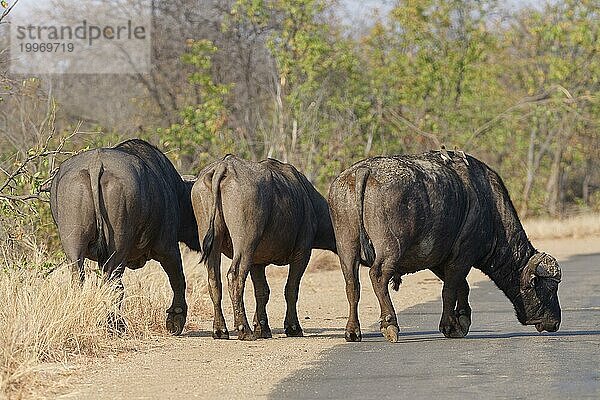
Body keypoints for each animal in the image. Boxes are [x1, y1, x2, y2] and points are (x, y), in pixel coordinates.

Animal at [49, 139, 199, 336]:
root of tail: (95, 164)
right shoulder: (168, 249)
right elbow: (178, 280)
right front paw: (175, 320)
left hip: (74, 246)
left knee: (80, 279)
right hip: (118, 247)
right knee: (114, 284)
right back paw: (116, 324)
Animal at [192, 155, 336, 340]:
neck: (309, 201)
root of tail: (224, 166)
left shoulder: (257, 262)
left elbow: (262, 291)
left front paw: (262, 327)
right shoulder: (302, 253)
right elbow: (291, 289)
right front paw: (293, 327)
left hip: (213, 241)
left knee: (214, 280)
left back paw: (220, 330)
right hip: (245, 244)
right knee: (235, 276)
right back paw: (244, 329)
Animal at [328, 152, 564, 342]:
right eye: (550, 289)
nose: (555, 322)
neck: (489, 204)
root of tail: (363, 171)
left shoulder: (438, 259)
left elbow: (462, 286)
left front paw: (463, 319)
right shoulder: (463, 256)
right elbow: (450, 289)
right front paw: (450, 325)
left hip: (346, 246)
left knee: (352, 284)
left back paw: (352, 331)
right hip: (391, 248)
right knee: (377, 276)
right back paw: (390, 325)